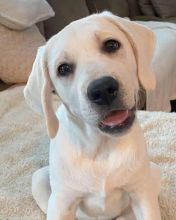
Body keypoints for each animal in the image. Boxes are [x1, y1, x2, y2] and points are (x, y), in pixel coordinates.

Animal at [24, 11, 162, 220]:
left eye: (111, 45)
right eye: (63, 69)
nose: (103, 89)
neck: (101, 148)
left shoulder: (141, 192)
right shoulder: (62, 203)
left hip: (152, 173)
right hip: (39, 180)